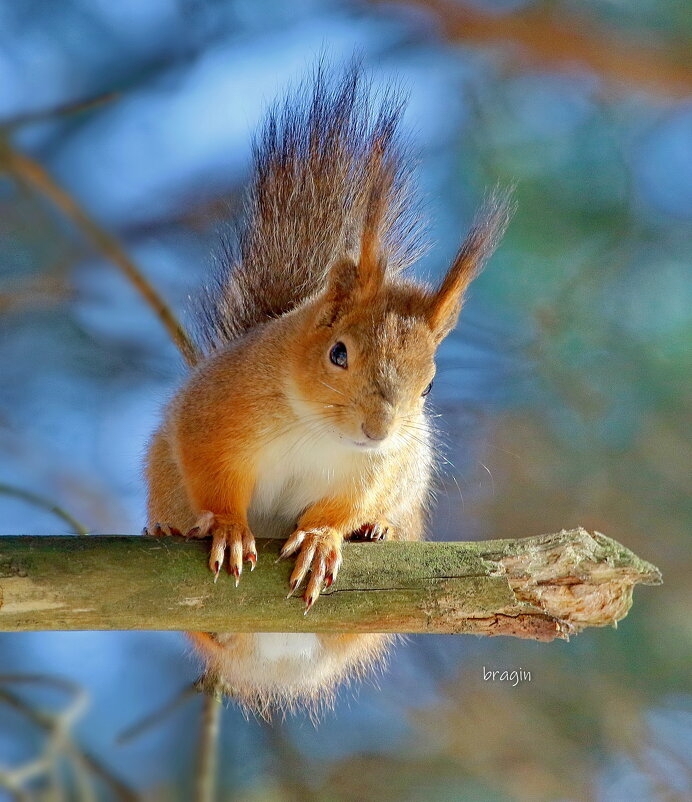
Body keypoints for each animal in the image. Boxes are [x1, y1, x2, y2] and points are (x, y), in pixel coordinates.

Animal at [143, 64, 512, 712]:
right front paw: (229, 527)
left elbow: (350, 499)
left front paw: (322, 538)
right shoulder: (217, 410)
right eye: (338, 353)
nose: (378, 430)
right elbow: (211, 467)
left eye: (430, 386)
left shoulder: (378, 466)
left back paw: (376, 531)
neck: (317, 429)